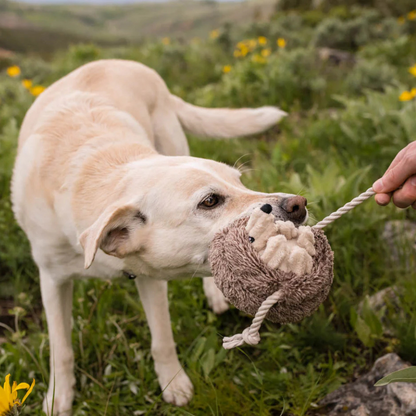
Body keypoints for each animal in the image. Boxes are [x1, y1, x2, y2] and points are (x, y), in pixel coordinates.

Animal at [11, 60, 308, 414]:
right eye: (210, 201)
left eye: (240, 182)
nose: (298, 205)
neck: (93, 170)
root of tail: (123, 62)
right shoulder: (52, 280)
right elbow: (61, 350)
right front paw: (59, 397)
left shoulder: (150, 277)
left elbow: (162, 339)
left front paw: (173, 383)